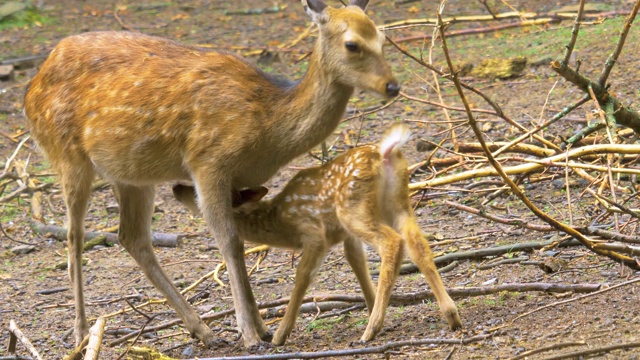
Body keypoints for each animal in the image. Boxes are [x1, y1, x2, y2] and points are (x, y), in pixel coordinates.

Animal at [22, 0, 398, 350]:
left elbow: (239, 239)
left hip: (131, 174)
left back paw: (202, 331)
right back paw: (82, 333)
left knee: (132, 237)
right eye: (352, 44)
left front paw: (261, 327)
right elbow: (229, 241)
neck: (267, 126)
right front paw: (250, 334)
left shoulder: (239, 179)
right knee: (74, 237)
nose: (392, 86)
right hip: (67, 155)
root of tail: (32, 87)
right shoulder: (207, 161)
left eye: (383, 37)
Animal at [172, 125, 462, 344]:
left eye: (195, 191)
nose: (176, 186)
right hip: (398, 203)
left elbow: (302, 277)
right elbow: (356, 263)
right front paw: (374, 310)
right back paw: (451, 316)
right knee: (417, 243)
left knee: (391, 242)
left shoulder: (313, 235)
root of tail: (386, 152)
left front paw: (279, 336)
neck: (279, 221)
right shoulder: (345, 236)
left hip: (353, 209)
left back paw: (370, 331)